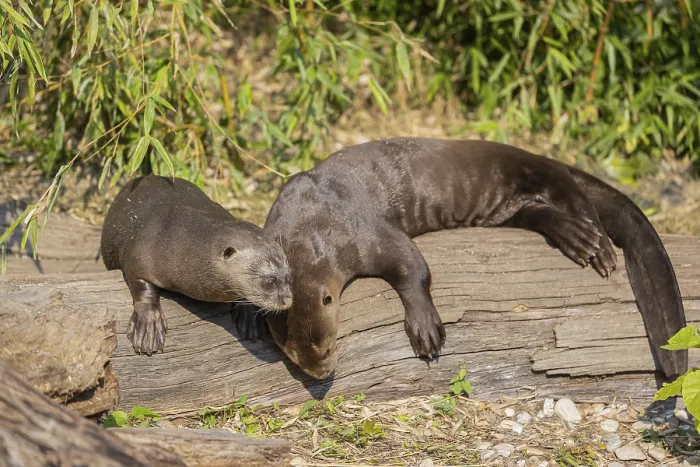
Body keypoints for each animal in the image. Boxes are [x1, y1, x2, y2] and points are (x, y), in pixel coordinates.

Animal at [101, 175, 292, 355]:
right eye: (270, 281)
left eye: (290, 277)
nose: (288, 300)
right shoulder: (140, 251)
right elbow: (140, 282)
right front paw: (149, 324)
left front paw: (250, 318)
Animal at [261, 137, 687, 381]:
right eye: (296, 359)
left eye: (326, 348)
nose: (322, 374)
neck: (311, 227)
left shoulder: (360, 232)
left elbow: (413, 266)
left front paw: (425, 326)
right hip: (510, 209)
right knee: (538, 211)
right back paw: (570, 234)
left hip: (540, 169)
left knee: (578, 199)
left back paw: (594, 244)